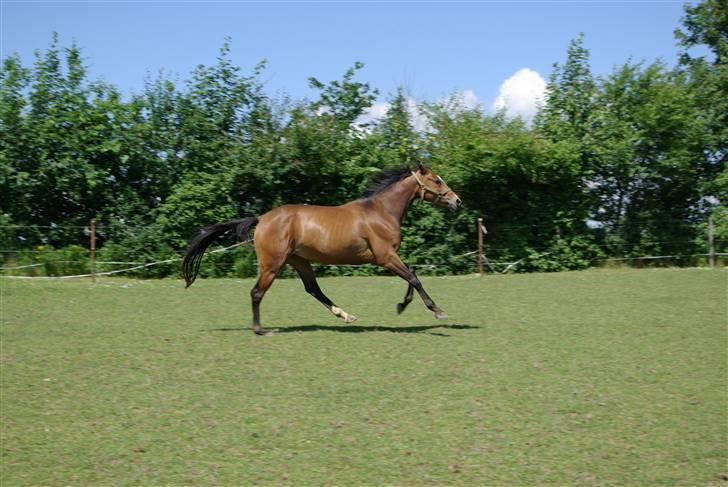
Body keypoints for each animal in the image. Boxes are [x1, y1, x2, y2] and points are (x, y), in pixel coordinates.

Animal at [185, 164, 464, 336]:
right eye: (437, 180)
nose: (457, 201)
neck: (381, 212)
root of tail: (262, 218)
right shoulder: (385, 257)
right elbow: (413, 277)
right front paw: (437, 311)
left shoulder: (388, 257)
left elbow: (411, 274)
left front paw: (402, 305)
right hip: (273, 264)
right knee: (257, 292)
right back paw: (261, 329)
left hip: (299, 261)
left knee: (313, 289)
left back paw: (346, 315)